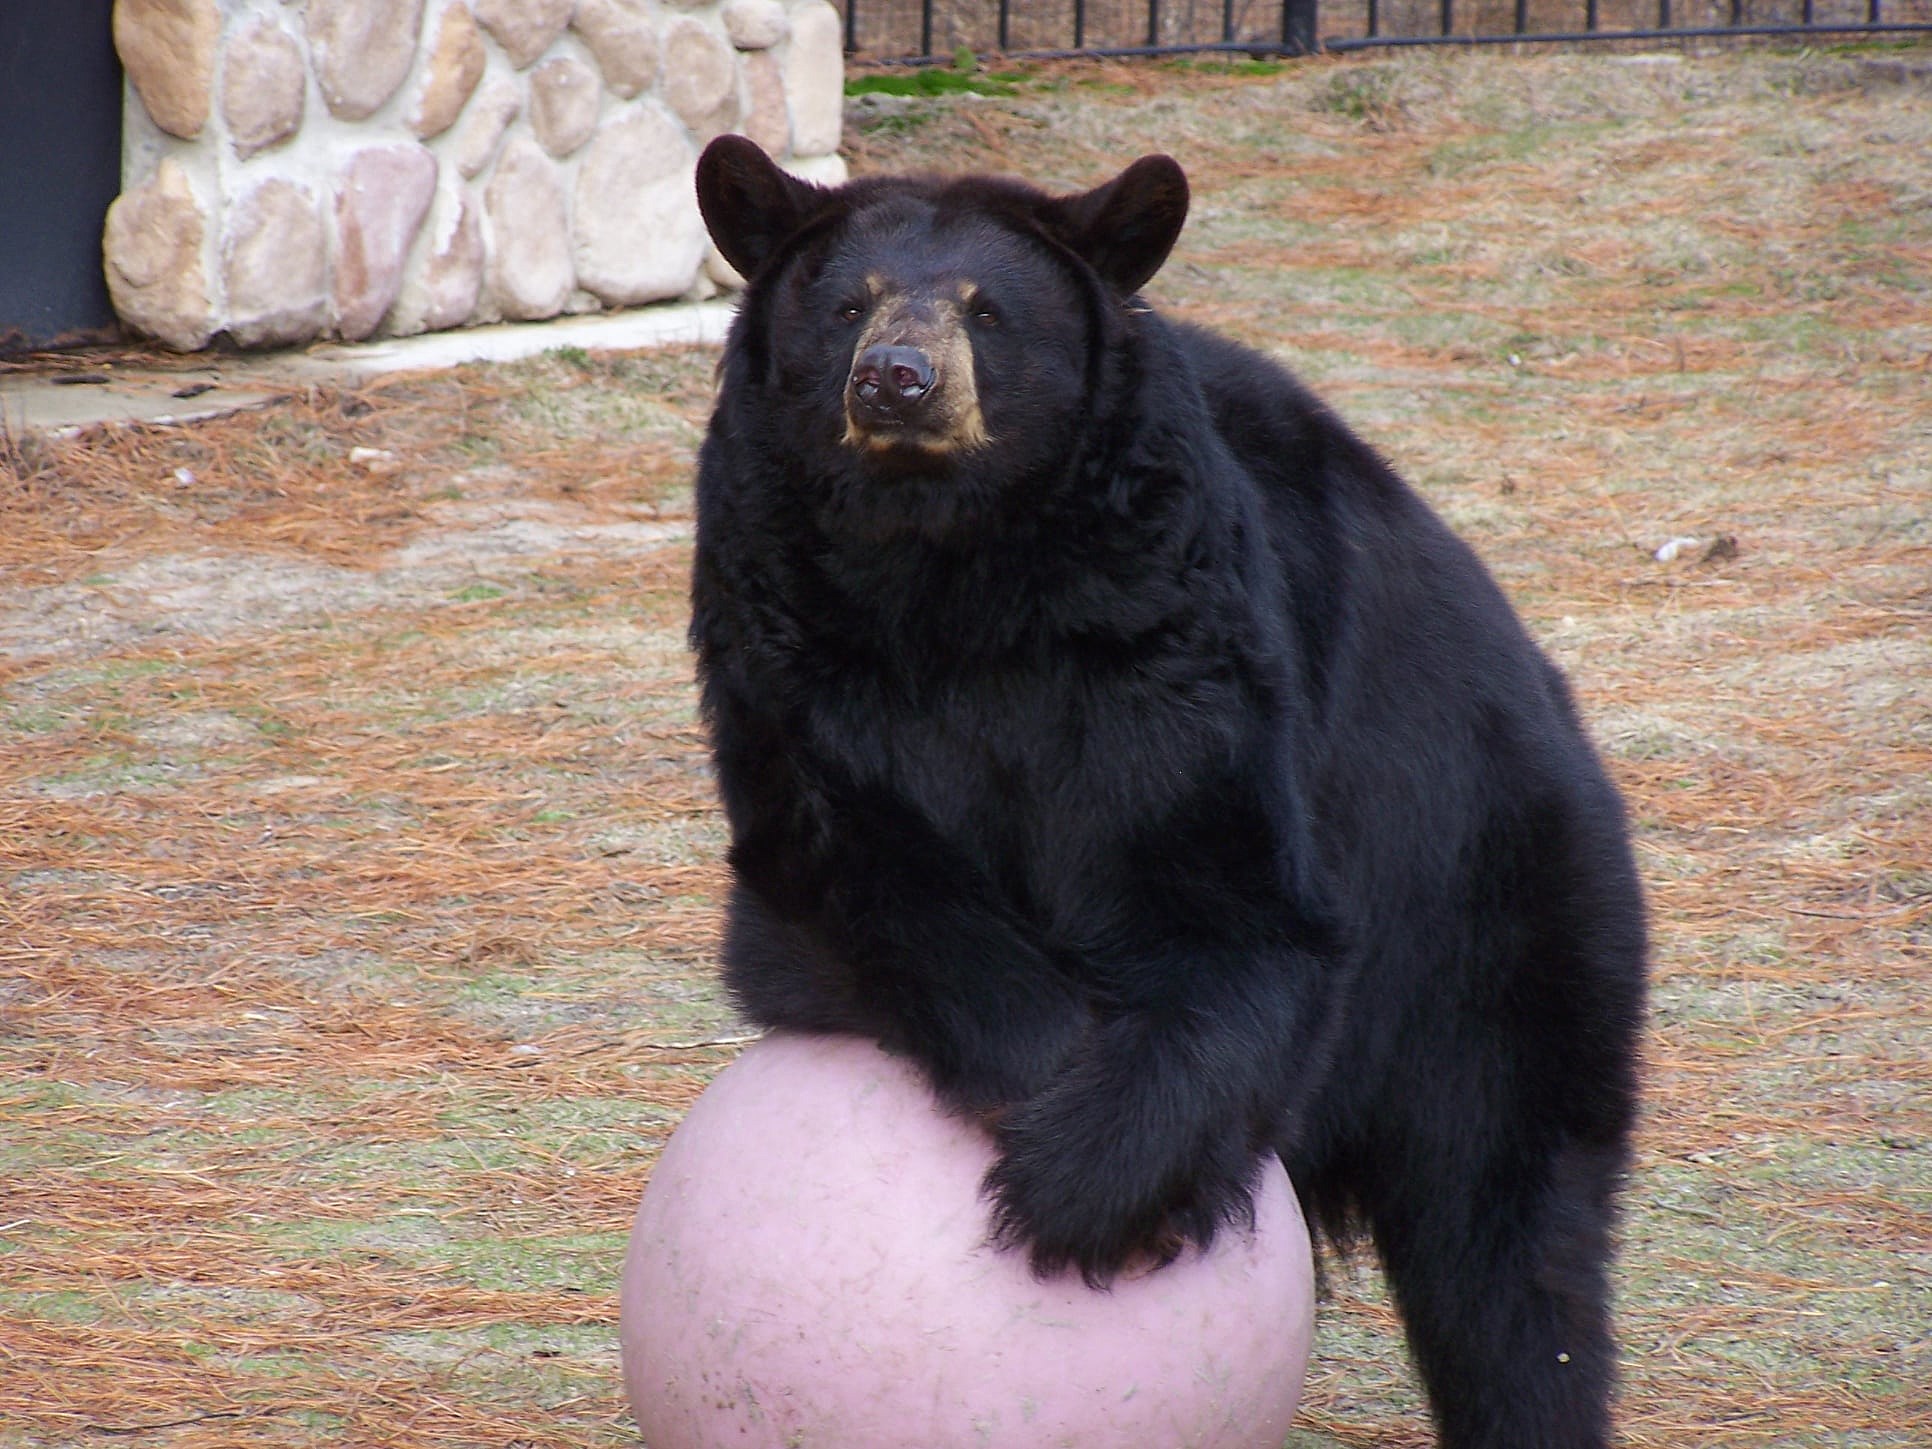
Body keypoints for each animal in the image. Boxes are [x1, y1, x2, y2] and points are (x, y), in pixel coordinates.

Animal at [687, 130, 1638, 1445]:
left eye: (988, 310)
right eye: (846, 305)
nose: (895, 381)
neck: (948, 566)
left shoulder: (1163, 625)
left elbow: (1230, 906)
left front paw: (1080, 1185)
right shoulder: (780, 632)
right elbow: (850, 859)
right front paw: (1044, 1076)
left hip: (1488, 908)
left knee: (1507, 1237)